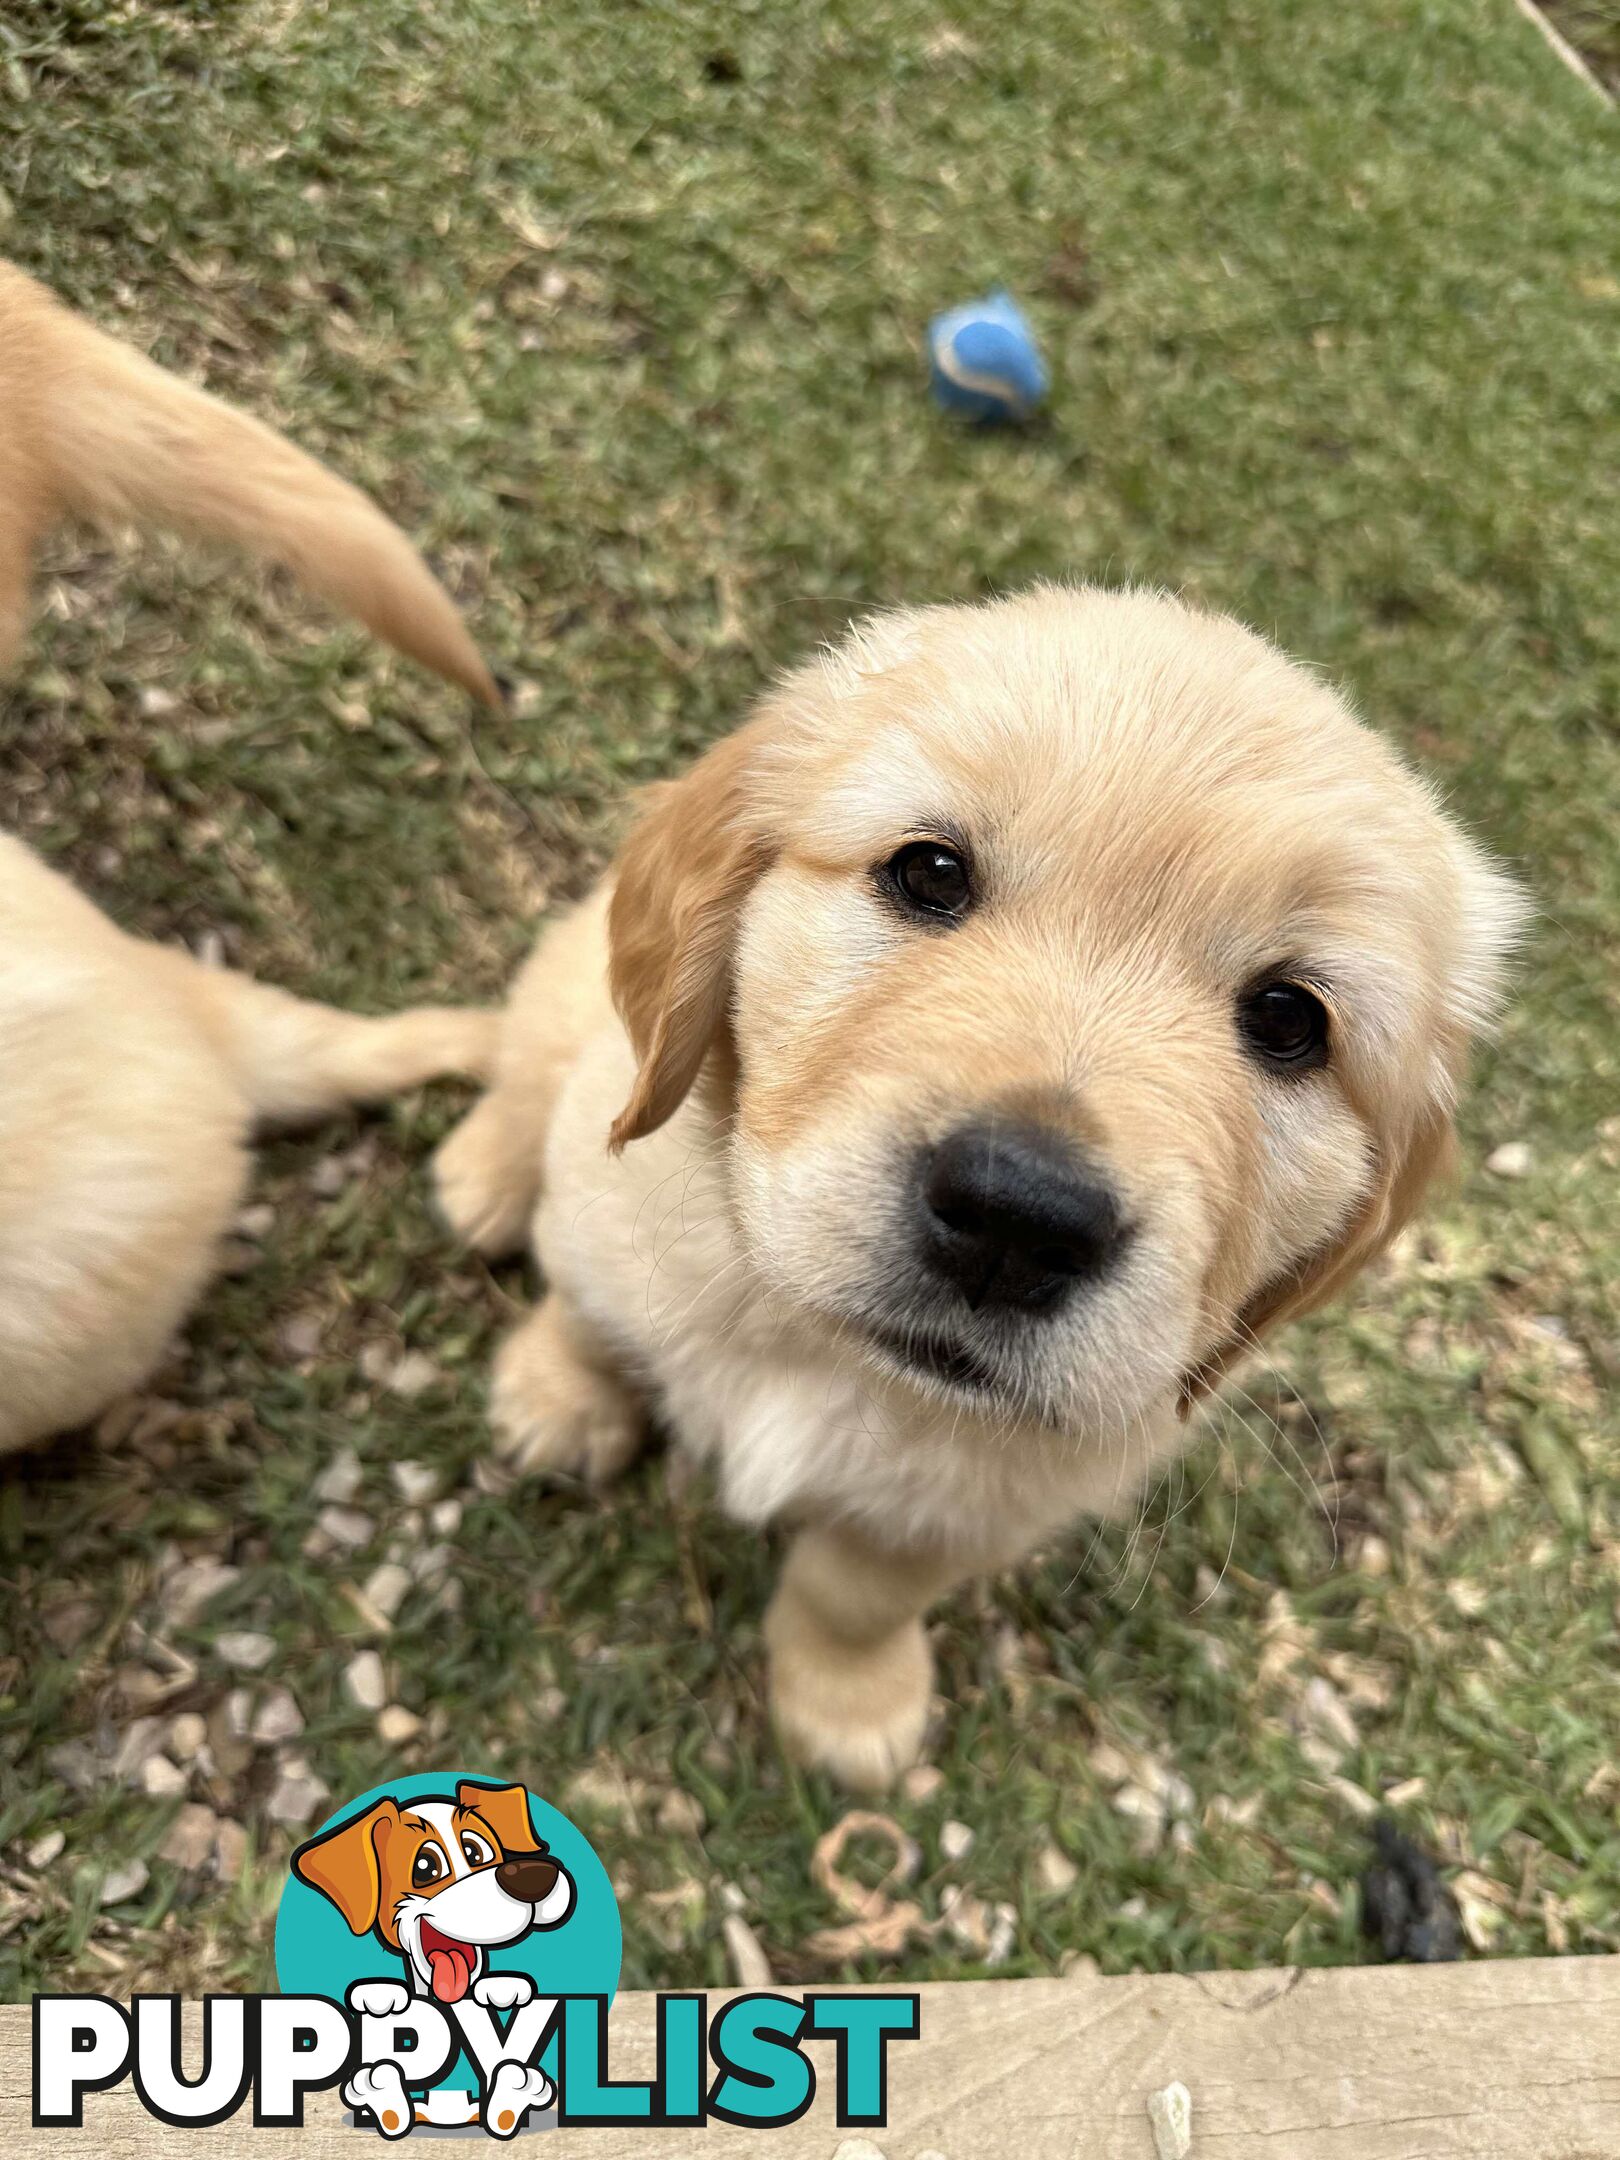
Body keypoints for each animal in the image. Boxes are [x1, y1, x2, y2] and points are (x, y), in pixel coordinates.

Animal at [438, 587, 1529, 1788]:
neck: (832, 1357)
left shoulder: (976, 1506)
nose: (1021, 1219)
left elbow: (857, 1590)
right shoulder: (609, 1217)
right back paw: (480, 1174)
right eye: (931, 872)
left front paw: (849, 1702)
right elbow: (591, 1314)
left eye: (1290, 1019)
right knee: (523, 1065)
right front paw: (558, 1396)